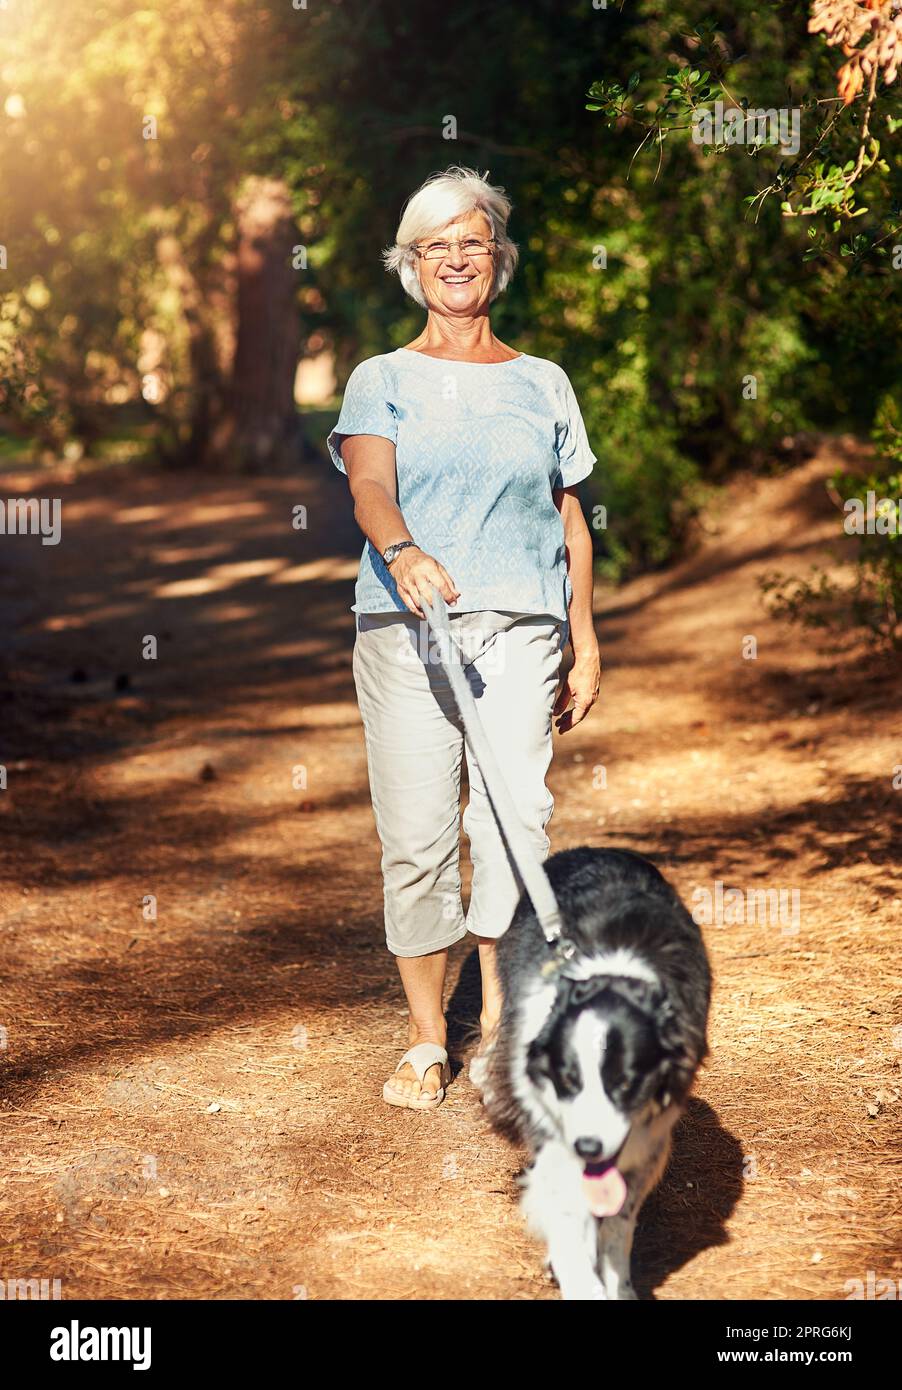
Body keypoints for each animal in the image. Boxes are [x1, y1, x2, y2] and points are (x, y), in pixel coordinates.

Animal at [480, 845, 706, 1301]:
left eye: (627, 1083)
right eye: (567, 1080)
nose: (588, 1146)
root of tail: (590, 849)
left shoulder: (649, 1142)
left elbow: (618, 1223)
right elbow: (569, 1218)